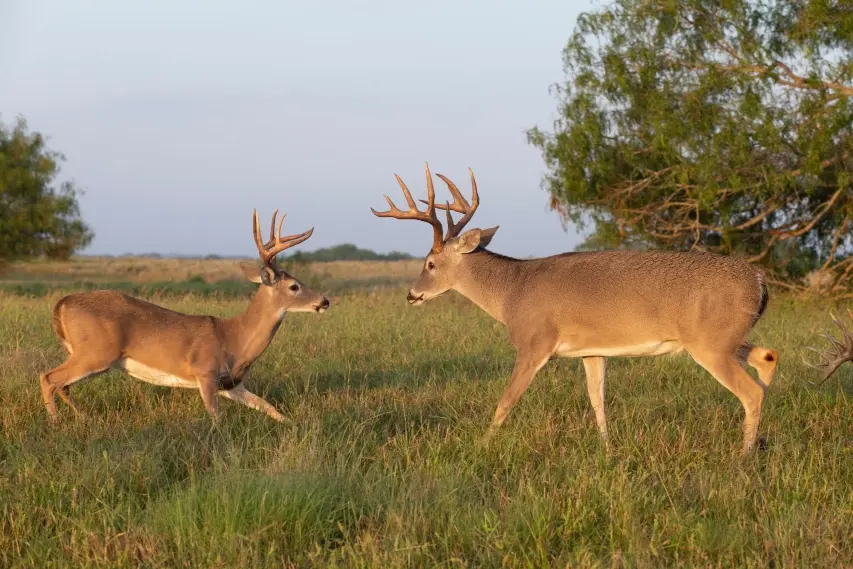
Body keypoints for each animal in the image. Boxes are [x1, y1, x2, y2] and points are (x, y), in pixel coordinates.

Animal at [39, 209, 330, 422]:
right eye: (294, 286)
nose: (324, 301)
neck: (234, 339)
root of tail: (62, 303)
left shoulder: (231, 385)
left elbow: (273, 410)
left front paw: (297, 425)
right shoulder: (205, 372)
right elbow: (216, 418)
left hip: (86, 355)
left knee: (62, 385)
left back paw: (85, 418)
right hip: (95, 353)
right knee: (49, 378)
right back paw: (56, 423)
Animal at [372, 163, 780, 452]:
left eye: (430, 263)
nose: (411, 295)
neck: (510, 291)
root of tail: (759, 279)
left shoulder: (534, 343)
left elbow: (506, 401)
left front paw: (481, 447)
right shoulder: (592, 351)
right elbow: (597, 400)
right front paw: (608, 449)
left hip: (710, 344)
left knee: (752, 392)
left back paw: (743, 454)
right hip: (725, 339)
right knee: (768, 357)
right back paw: (759, 439)